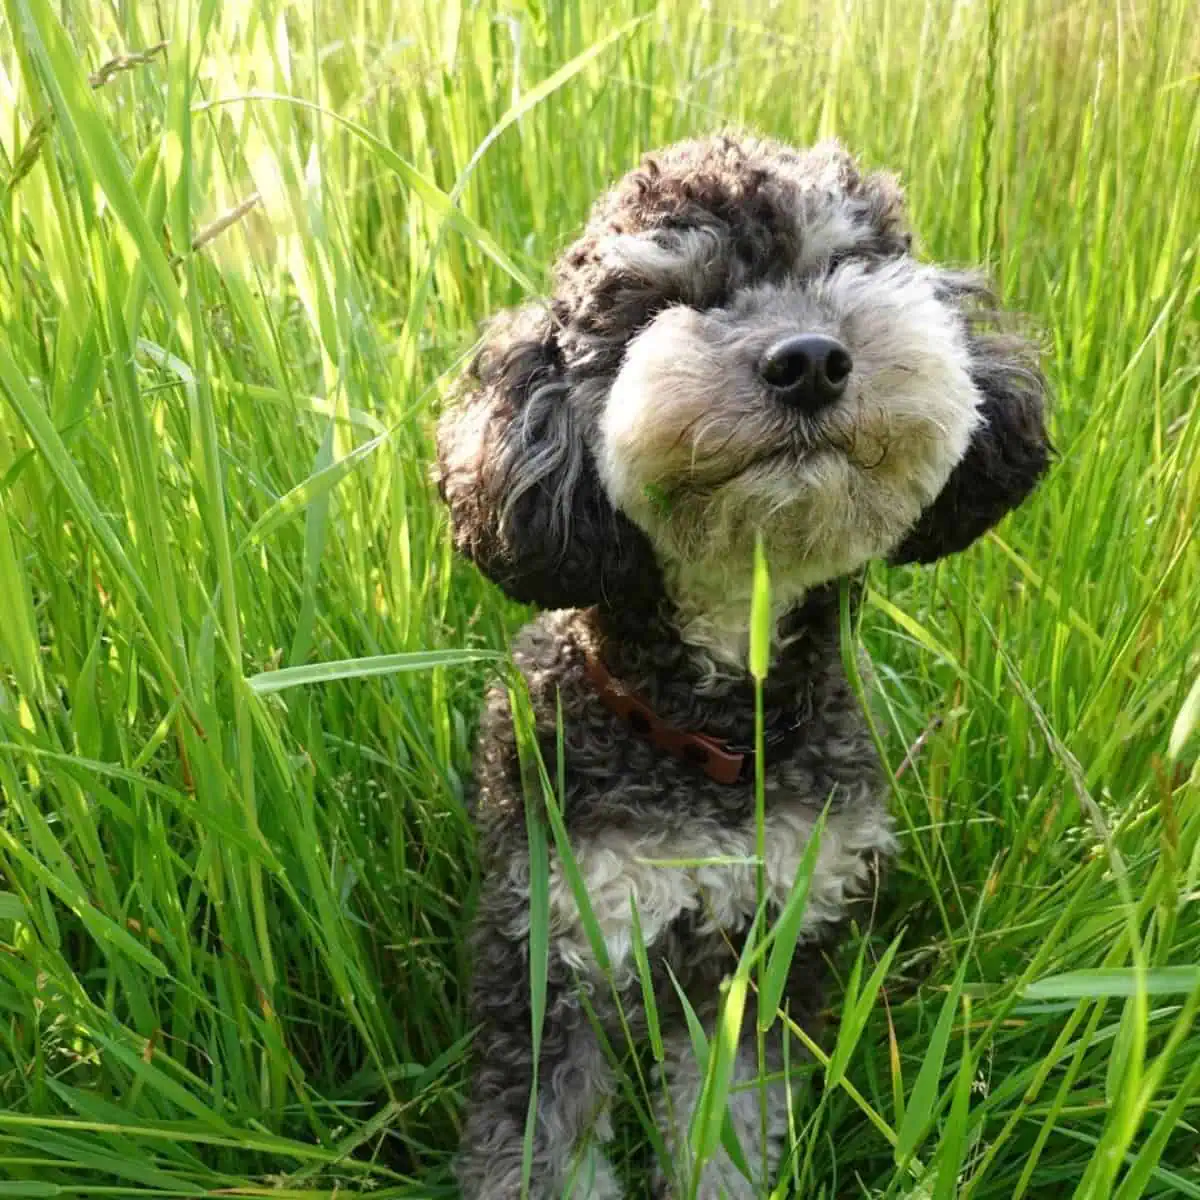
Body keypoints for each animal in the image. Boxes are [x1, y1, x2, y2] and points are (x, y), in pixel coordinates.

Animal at [441, 136, 1051, 1195]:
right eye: (668, 297)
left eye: (843, 264)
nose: (807, 360)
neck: (721, 728)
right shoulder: (556, 947)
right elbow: (543, 1145)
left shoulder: (769, 949)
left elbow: (729, 1119)